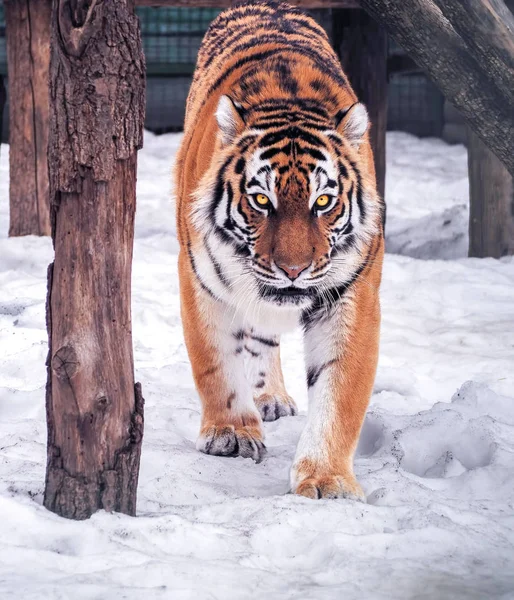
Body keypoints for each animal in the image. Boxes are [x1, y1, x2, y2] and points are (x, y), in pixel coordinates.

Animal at [174, 0, 382, 500]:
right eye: (261, 200)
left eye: (322, 202)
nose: (293, 270)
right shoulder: (200, 281)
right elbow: (216, 362)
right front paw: (230, 433)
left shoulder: (354, 294)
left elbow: (340, 392)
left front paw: (326, 479)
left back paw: (272, 398)